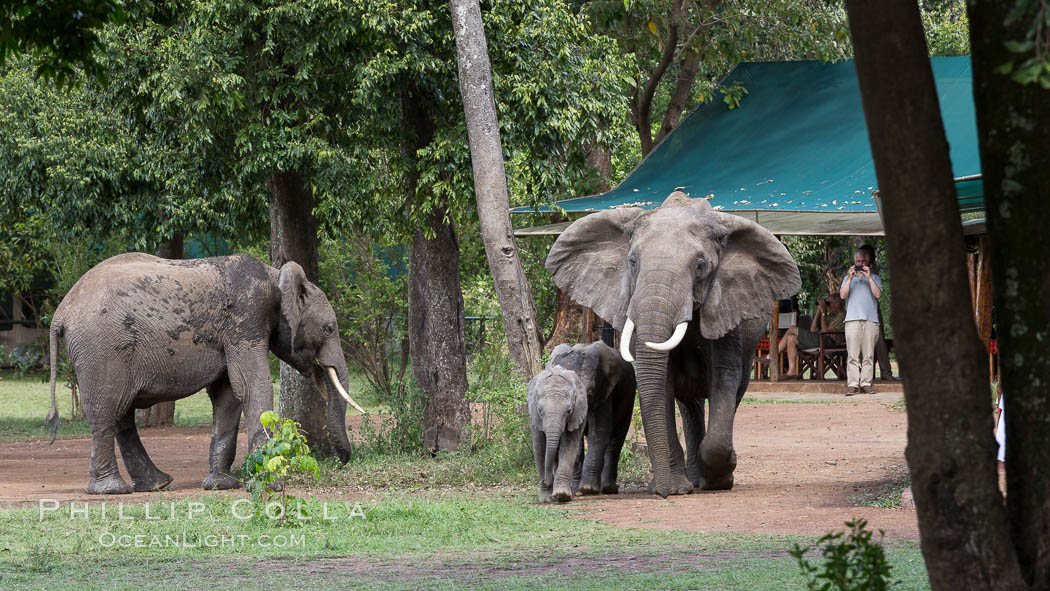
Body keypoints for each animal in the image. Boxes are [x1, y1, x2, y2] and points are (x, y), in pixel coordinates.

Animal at [45, 252, 365, 495]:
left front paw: (221, 485)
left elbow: (228, 395)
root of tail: (61, 313)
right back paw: (112, 490)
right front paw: (272, 483)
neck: (274, 276)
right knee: (107, 412)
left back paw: (157, 484)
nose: (340, 461)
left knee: (121, 414)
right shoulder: (245, 320)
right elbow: (252, 386)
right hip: (102, 349)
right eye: (329, 328)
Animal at [529, 342, 634, 503]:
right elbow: (577, 442)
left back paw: (608, 489)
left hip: (629, 398)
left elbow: (599, 432)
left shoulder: (605, 393)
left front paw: (587, 489)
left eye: (589, 392)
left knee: (616, 439)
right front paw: (576, 490)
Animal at [546, 192, 797, 497]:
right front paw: (677, 488)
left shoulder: (726, 310)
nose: (662, 492)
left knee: (731, 393)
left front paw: (719, 480)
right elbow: (660, 383)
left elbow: (724, 378)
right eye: (632, 262)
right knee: (690, 405)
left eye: (700, 266)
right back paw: (692, 479)